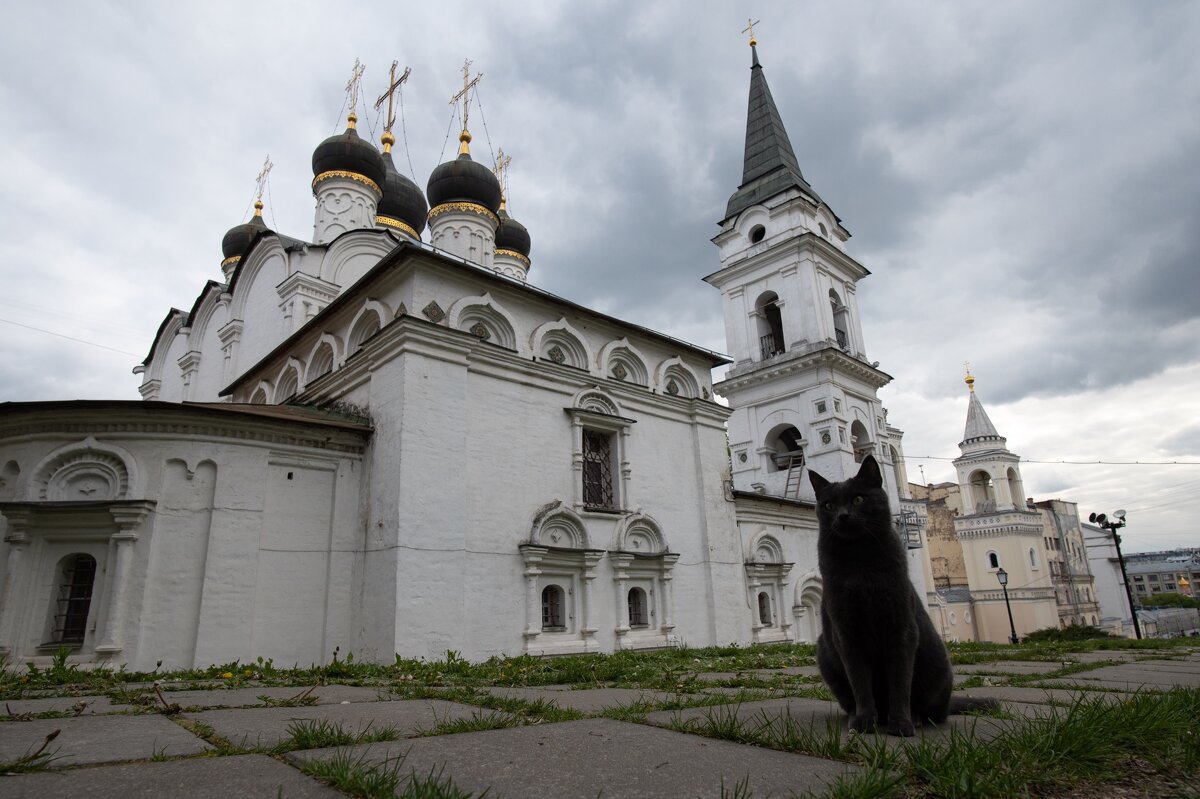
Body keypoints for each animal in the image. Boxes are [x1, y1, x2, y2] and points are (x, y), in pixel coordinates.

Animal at [811, 453, 998, 734]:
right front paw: (865, 720)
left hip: (935, 660)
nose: (843, 516)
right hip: (825, 652)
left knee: (933, 711)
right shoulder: (846, 633)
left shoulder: (901, 630)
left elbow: (899, 683)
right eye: (829, 505)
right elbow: (860, 683)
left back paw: (915, 717)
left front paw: (900, 723)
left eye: (858, 499)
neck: (860, 561)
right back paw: (858, 717)